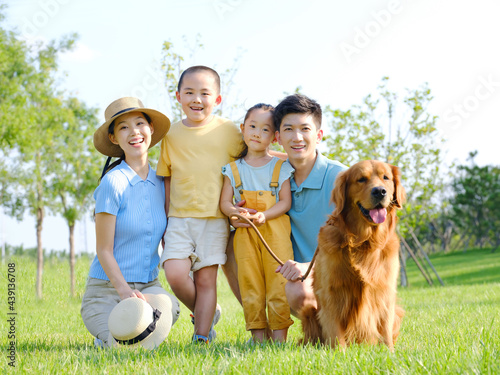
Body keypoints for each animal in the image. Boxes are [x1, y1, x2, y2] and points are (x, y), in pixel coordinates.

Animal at [300, 160, 406, 352]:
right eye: (361, 179)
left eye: (386, 177)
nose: (380, 191)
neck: (364, 242)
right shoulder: (331, 292)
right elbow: (335, 332)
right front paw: (339, 353)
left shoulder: (385, 290)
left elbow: (385, 328)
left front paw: (389, 352)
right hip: (308, 312)